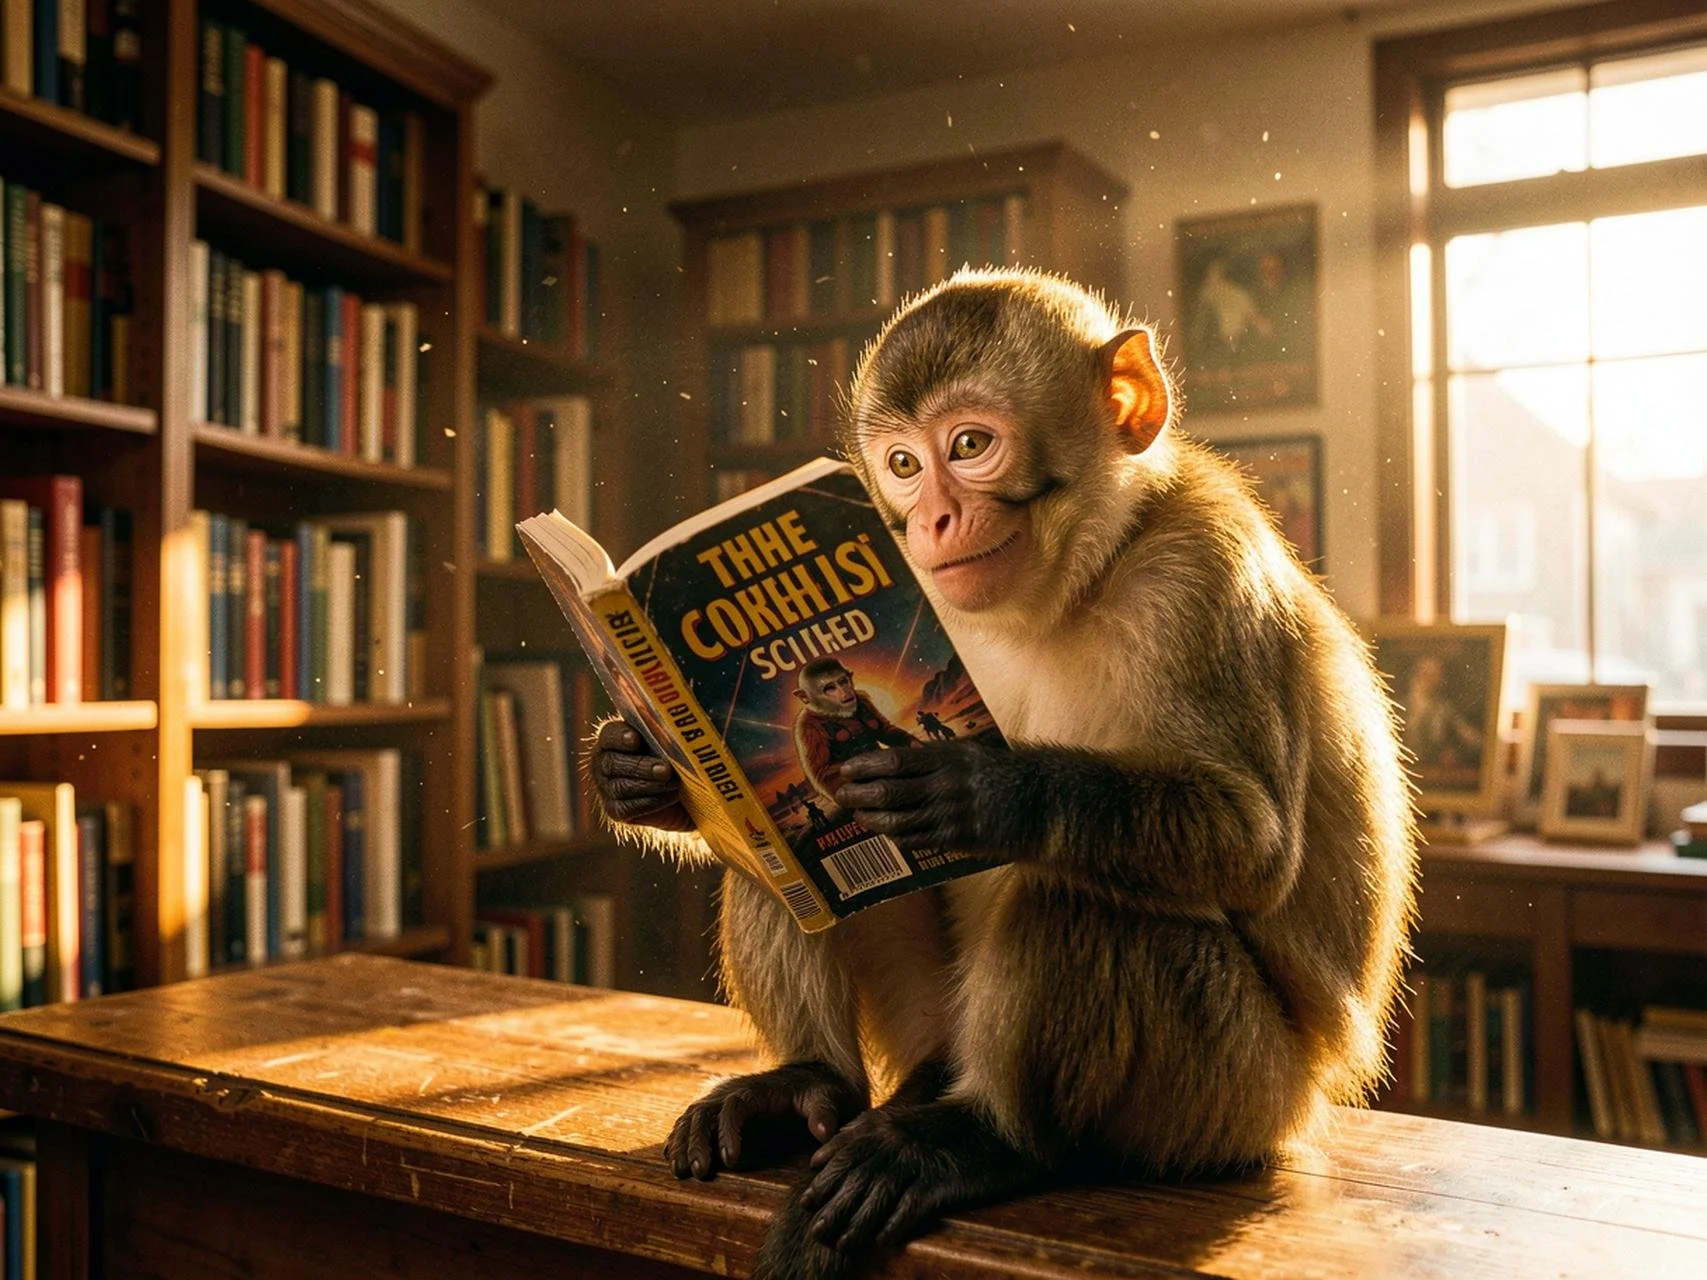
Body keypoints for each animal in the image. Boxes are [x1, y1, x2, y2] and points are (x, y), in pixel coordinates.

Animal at [593, 267, 1417, 1279]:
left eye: (971, 446)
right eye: (903, 465)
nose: (933, 518)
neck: (1081, 575)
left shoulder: (1204, 576)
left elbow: (1251, 840)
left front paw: (985, 794)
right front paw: (633, 767)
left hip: (1235, 1099)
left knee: (1082, 897)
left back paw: (986, 1139)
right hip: (924, 1014)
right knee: (785, 867)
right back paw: (805, 1084)